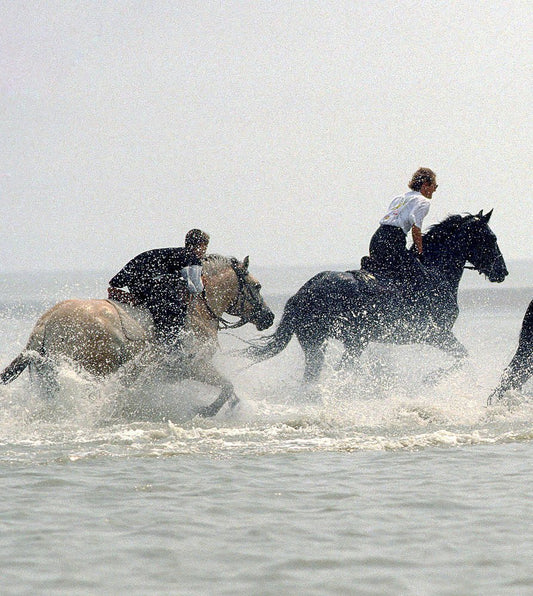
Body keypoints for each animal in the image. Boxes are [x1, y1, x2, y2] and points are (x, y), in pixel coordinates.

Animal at [1, 254, 274, 416]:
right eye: (258, 286)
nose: (269, 317)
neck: (199, 306)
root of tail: (46, 322)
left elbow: (231, 390)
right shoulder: (193, 366)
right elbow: (227, 386)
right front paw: (205, 410)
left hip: (50, 375)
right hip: (96, 367)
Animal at [245, 212, 508, 384]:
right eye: (492, 238)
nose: (503, 271)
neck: (436, 271)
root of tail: (300, 294)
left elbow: (463, 358)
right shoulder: (436, 334)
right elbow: (463, 357)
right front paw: (430, 378)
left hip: (322, 343)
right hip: (349, 342)